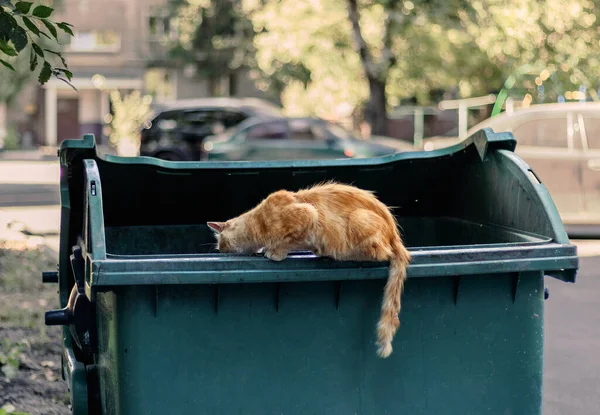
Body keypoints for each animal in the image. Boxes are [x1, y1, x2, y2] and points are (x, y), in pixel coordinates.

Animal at [209, 184, 410, 360]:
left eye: (220, 243)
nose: (220, 250)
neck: (258, 222)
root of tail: (394, 234)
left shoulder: (307, 214)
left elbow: (288, 242)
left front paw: (275, 252)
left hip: (360, 220)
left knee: (382, 253)